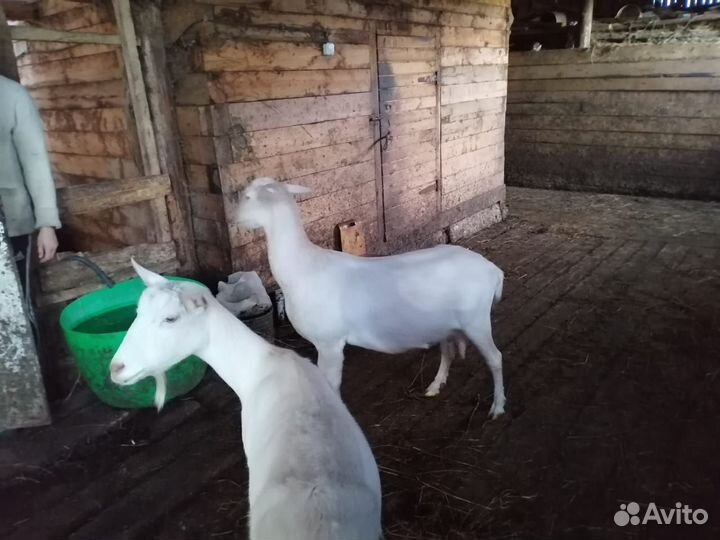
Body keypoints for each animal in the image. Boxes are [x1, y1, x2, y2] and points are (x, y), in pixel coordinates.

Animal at [236, 177, 506, 418]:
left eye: (247, 197)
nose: (237, 221)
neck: (302, 267)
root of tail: (494, 270)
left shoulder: (329, 342)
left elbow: (331, 387)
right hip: (447, 324)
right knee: (448, 352)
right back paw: (434, 387)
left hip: (476, 321)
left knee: (495, 358)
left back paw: (498, 406)